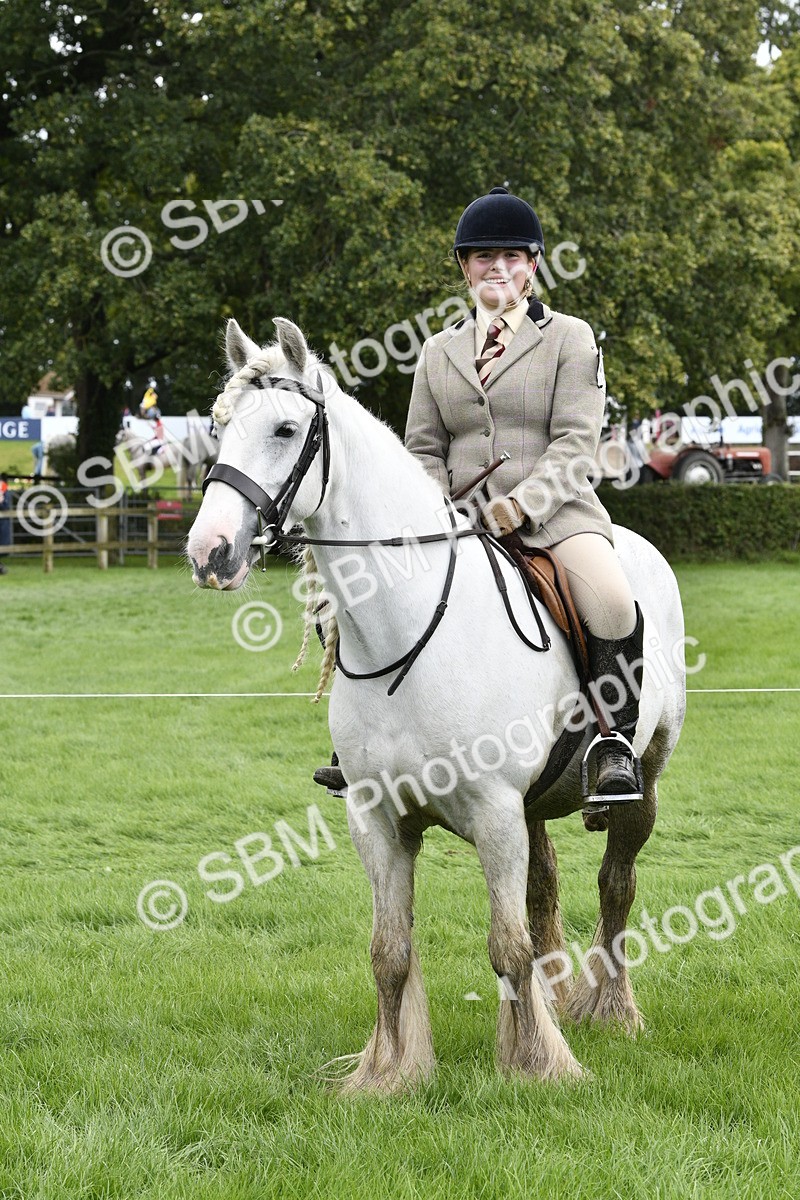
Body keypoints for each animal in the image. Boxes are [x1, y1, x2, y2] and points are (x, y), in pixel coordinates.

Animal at [186, 317, 686, 1093]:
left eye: (284, 428)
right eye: (218, 426)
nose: (209, 552)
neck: (407, 628)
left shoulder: (493, 812)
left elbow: (507, 945)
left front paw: (534, 1065)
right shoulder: (378, 819)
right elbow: (389, 951)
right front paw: (388, 1074)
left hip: (642, 778)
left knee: (616, 886)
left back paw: (612, 1010)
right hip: (532, 807)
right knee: (545, 890)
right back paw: (562, 999)